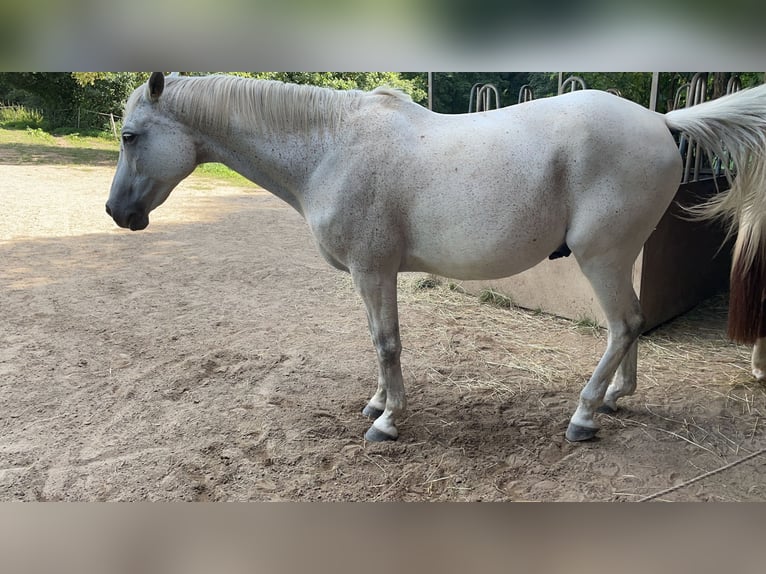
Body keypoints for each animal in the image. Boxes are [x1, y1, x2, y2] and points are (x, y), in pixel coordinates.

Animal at [106, 73, 766, 443]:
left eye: (130, 136)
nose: (116, 211)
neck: (331, 147)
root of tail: (661, 119)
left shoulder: (373, 271)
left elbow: (387, 342)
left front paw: (387, 421)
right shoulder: (370, 276)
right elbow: (377, 341)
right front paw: (377, 402)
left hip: (600, 257)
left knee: (624, 324)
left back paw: (584, 417)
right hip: (617, 256)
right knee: (628, 325)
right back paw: (611, 400)